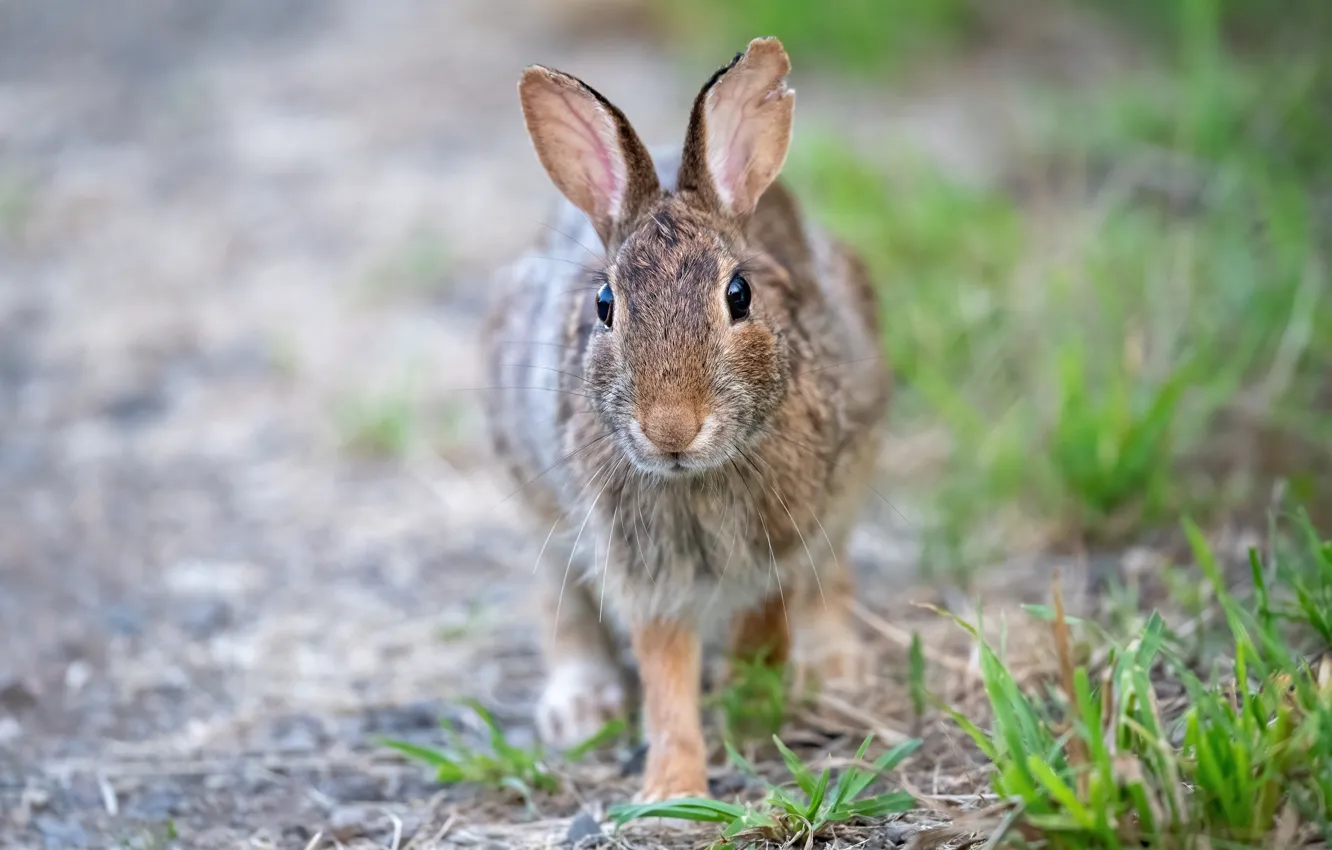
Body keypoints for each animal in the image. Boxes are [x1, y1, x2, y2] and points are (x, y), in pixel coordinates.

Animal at [482, 36, 891, 802]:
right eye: (605, 305)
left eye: (740, 294)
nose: (670, 429)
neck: (699, 476)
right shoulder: (644, 567)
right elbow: (665, 667)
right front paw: (672, 792)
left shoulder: (789, 536)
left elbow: (767, 619)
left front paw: (747, 703)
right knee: (562, 603)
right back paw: (581, 708)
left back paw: (831, 670)